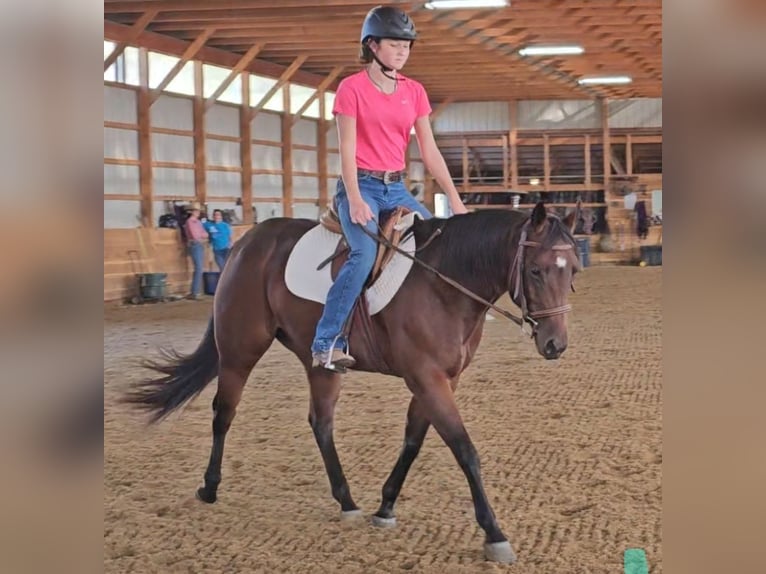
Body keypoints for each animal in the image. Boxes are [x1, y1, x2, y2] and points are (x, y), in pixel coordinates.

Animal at [123, 201, 581, 564]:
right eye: (536, 270)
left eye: (572, 269)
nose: (555, 344)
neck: (444, 283)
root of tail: (245, 243)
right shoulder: (427, 377)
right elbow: (465, 450)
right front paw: (494, 533)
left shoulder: (439, 380)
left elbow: (413, 442)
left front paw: (385, 506)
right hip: (239, 350)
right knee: (224, 414)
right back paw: (210, 487)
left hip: (321, 364)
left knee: (320, 423)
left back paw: (346, 501)